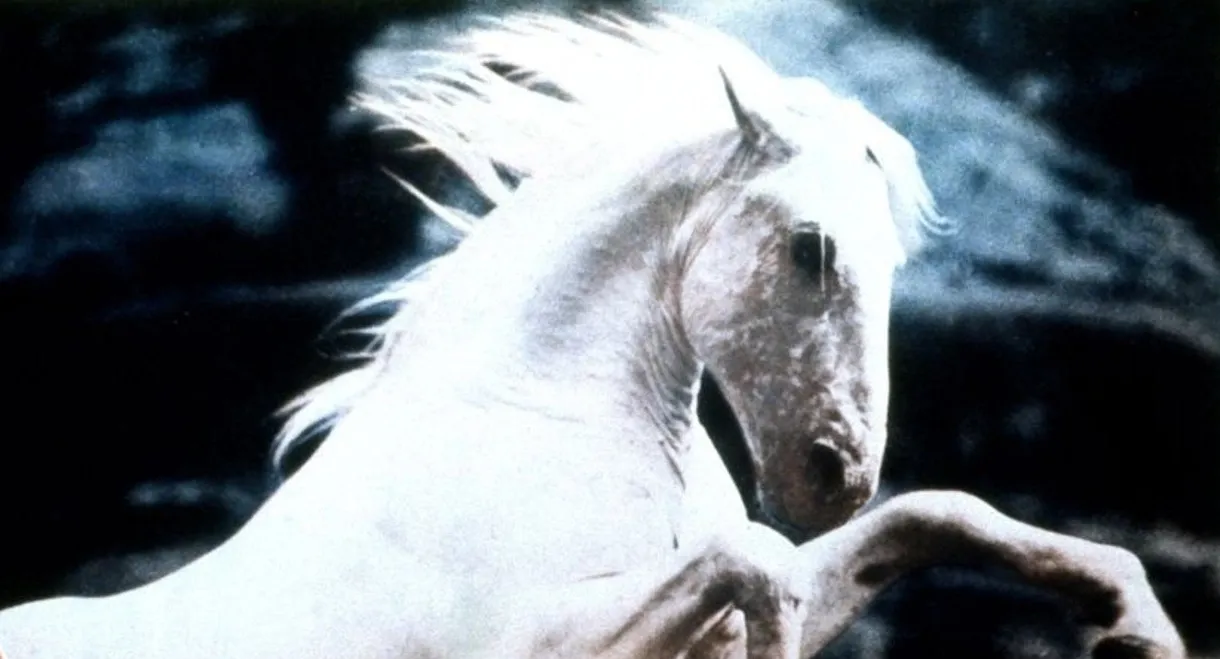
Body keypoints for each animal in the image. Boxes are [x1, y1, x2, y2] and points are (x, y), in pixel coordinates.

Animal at [0, 10, 1185, 659]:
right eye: (810, 246)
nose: (835, 476)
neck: (543, 420)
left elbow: (934, 514)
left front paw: (1133, 624)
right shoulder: (536, 640)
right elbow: (756, 558)